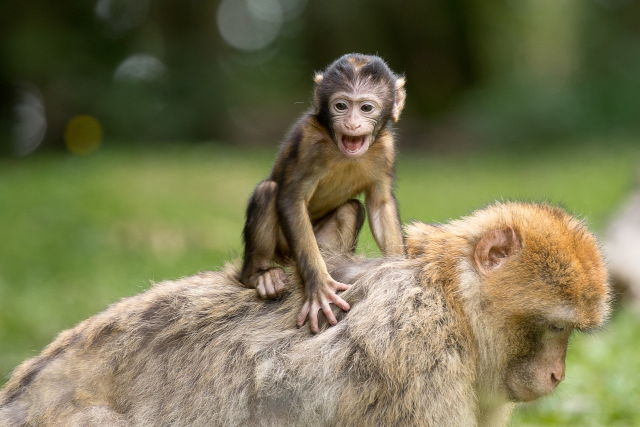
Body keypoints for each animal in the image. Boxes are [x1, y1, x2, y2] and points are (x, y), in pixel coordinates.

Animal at [240, 53, 407, 333]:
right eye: (341, 106)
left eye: (366, 108)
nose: (351, 123)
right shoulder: (309, 142)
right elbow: (291, 200)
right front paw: (318, 286)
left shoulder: (386, 148)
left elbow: (380, 204)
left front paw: (398, 273)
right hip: (284, 250)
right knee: (268, 191)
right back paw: (260, 276)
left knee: (351, 209)